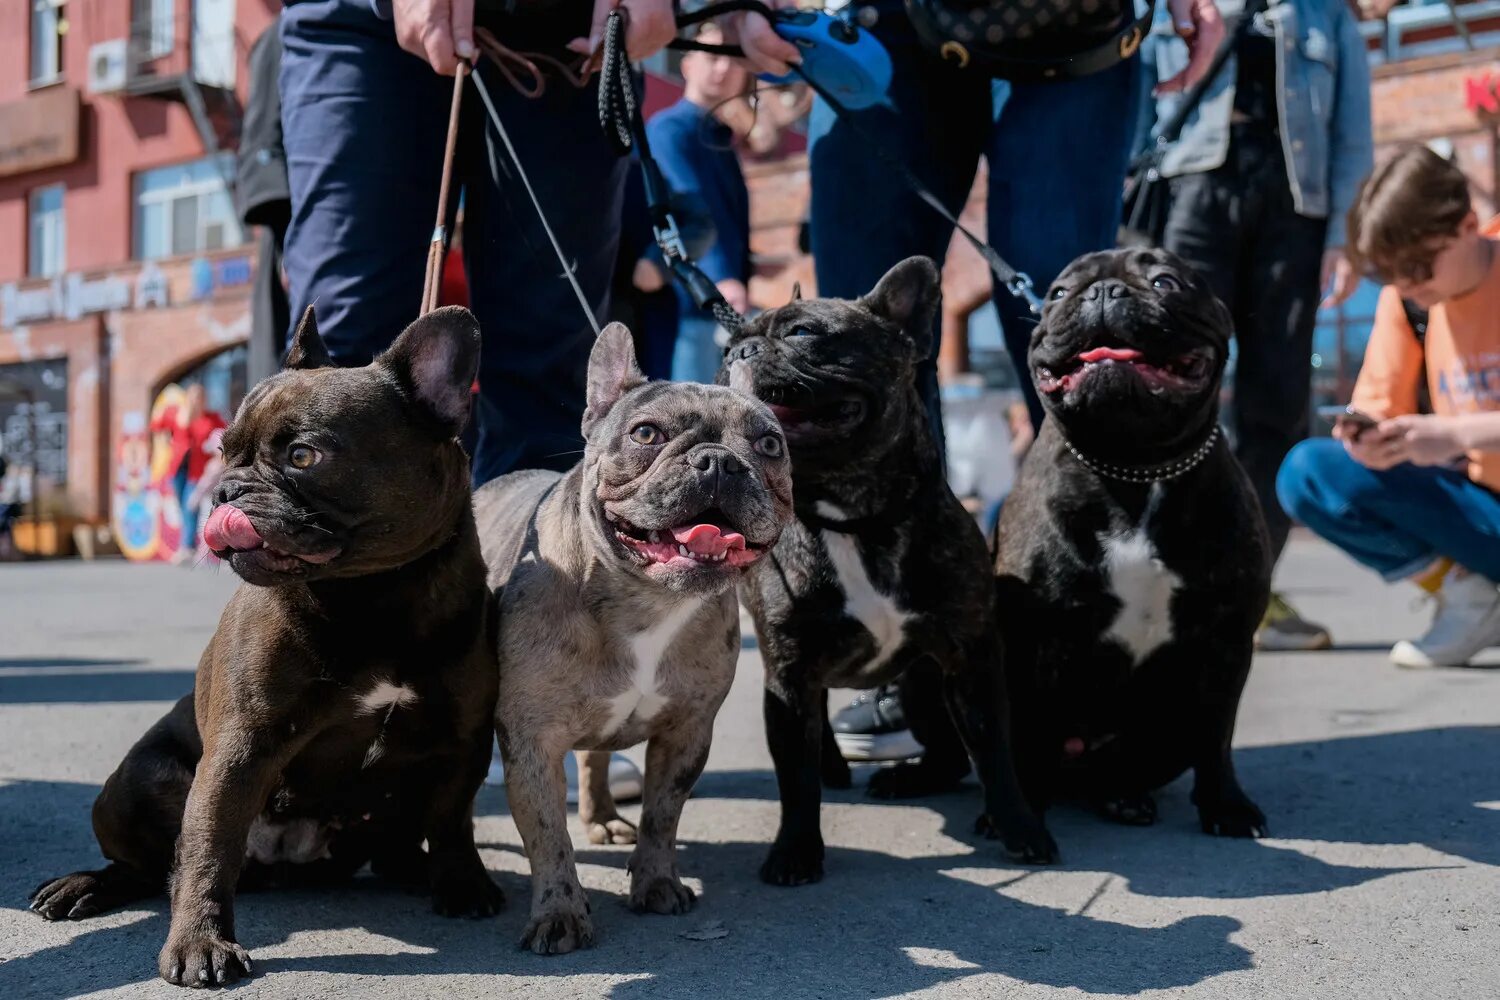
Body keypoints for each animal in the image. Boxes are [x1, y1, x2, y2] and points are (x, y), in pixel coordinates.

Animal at [990, 250, 1272, 839]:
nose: (1103, 292)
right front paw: (1019, 816)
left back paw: (1122, 797)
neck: (1135, 467)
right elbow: (1022, 736)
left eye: (1165, 282)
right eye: (1057, 294)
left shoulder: (1228, 640)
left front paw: (1227, 806)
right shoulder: (1027, 642)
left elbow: (1218, 735)